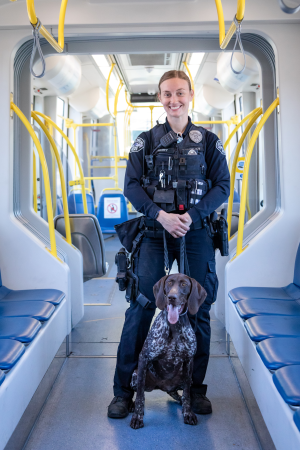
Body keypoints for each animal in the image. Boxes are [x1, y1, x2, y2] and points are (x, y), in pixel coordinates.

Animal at [129, 272, 206, 428]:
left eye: (184, 284)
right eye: (169, 283)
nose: (172, 297)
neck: (174, 327)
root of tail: (164, 387)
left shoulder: (189, 361)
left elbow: (187, 394)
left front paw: (188, 413)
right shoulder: (144, 358)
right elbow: (140, 396)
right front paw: (137, 417)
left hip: (186, 379)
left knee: (181, 394)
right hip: (135, 375)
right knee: (141, 392)